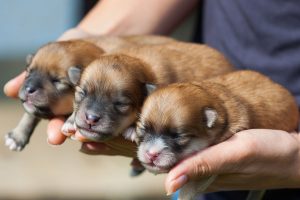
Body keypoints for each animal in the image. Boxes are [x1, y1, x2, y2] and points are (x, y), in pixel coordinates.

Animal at [134, 70, 300, 198]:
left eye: (178, 136)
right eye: (144, 129)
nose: (151, 154)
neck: (217, 103)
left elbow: (196, 181)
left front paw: (184, 194)